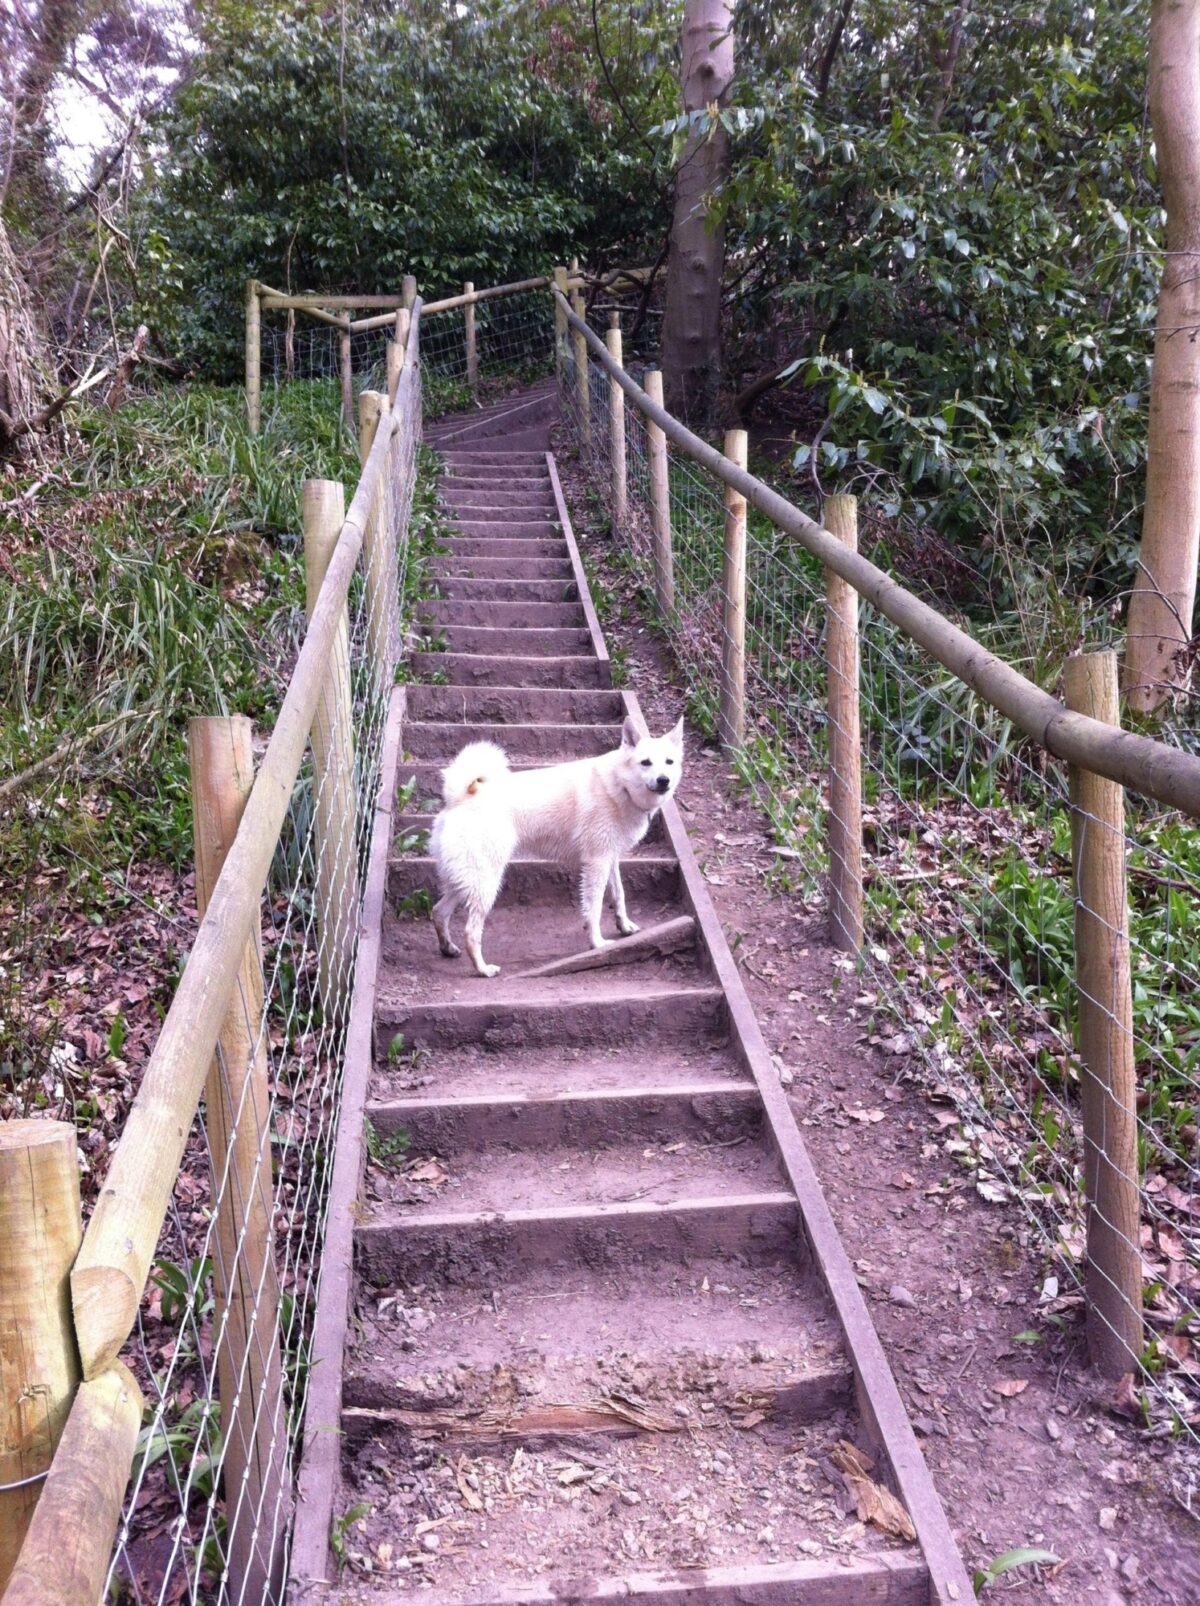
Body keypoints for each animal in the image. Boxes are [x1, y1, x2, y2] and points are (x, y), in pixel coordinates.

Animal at [430, 719, 684, 976]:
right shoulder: (597, 862)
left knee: (438, 912)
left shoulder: (609, 859)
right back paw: (483, 969)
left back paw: (447, 948)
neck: (619, 785)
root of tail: (459, 798)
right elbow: (594, 907)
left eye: (669, 762)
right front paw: (597, 944)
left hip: (466, 880)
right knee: (470, 932)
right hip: (486, 883)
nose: (664, 780)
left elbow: (619, 893)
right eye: (646, 762)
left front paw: (625, 926)